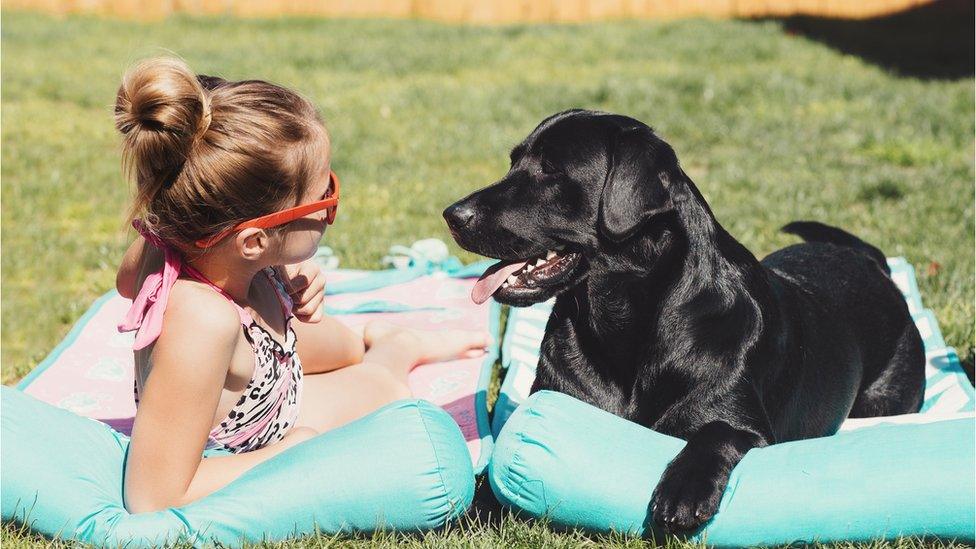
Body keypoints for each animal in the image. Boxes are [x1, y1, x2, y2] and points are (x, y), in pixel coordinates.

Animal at [442, 109, 924, 532]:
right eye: (513, 163)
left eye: (550, 171)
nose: (451, 215)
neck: (627, 327)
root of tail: (871, 262)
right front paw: (471, 507)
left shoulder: (748, 425)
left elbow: (716, 435)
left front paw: (683, 492)